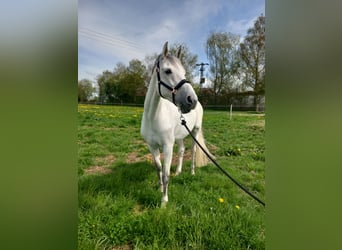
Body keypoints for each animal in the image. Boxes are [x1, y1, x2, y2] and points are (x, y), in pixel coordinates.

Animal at [140, 42, 210, 206]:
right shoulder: (152, 146)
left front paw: (164, 202)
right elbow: (158, 168)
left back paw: (192, 172)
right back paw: (178, 172)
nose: (192, 100)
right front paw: (159, 188)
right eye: (168, 71)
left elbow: (166, 174)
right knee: (182, 150)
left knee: (193, 151)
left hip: (195, 131)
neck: (153, 117)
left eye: (184, 72)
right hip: (179, 137)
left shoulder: (167, 147)